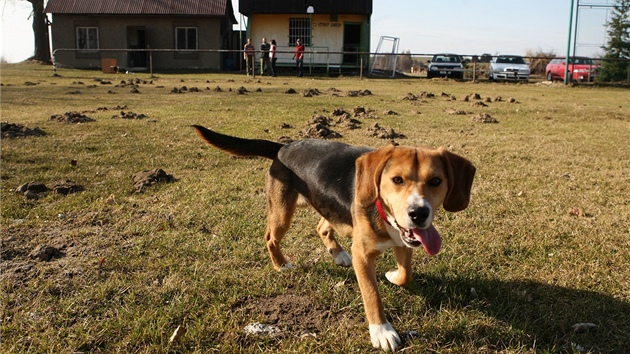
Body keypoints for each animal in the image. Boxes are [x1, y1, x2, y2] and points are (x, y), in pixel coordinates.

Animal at [195, 125, 476, 352]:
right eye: (397, 180)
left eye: (436, 181)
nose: (418, 213)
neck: (383, 211)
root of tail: (284, 147)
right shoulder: (363, 256)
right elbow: (372, 296)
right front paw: (382, 332)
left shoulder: (403, 241)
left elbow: (406, 275)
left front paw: (392, 275)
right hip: (283, 213)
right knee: (270, 238)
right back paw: (281, 264)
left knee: (321, 227)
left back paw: (339, 254)